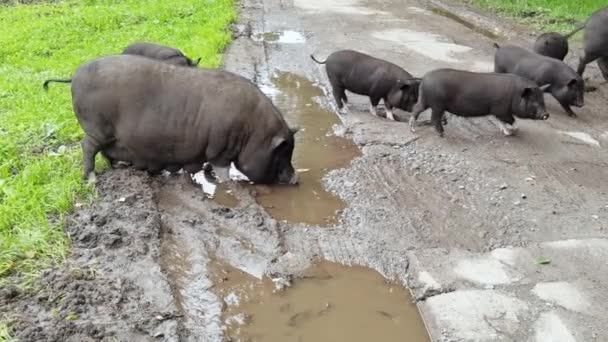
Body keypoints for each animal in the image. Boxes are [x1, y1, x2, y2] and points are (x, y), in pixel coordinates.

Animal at [42, 54, 300, 186]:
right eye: (282, 153)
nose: (297, 179)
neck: (253, 133)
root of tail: (74, 75)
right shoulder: (221, 149)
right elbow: (223, 170)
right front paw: (229, 185)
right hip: (97, 128)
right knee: (87, 147)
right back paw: (91, 179)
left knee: (106, 151)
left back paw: (119, 168)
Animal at [408, 68, 552, 138]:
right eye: (533, 100)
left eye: (542, 99)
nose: (546, 114)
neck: (515, 95)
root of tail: (424, 78)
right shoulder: (501, 110)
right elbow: (511, 121)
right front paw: (512, 132)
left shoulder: (499, 112)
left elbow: (502, 122)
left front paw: (505, 132)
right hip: (437, 104)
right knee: (434, 118)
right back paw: (442, 134)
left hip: (425, 100)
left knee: (416, 109)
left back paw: (413, 129)